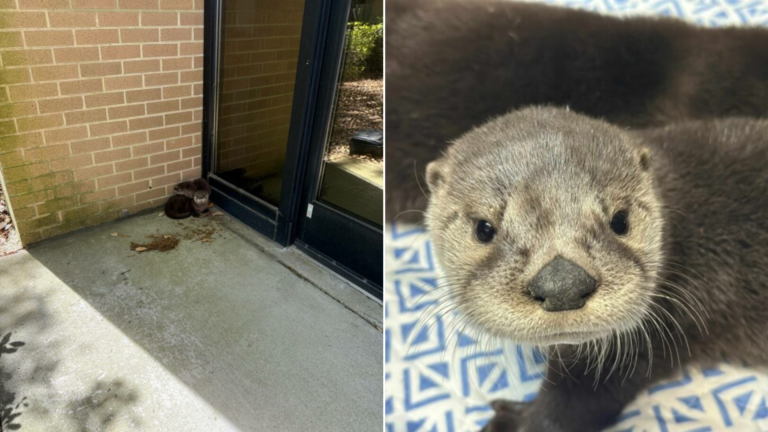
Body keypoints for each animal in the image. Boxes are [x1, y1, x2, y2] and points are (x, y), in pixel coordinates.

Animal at [425, 107, 768, 432]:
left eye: (620, 220)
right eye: (483, 229)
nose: (562, 286)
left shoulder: (659, 328)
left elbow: (579, 397)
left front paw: (516, 422)